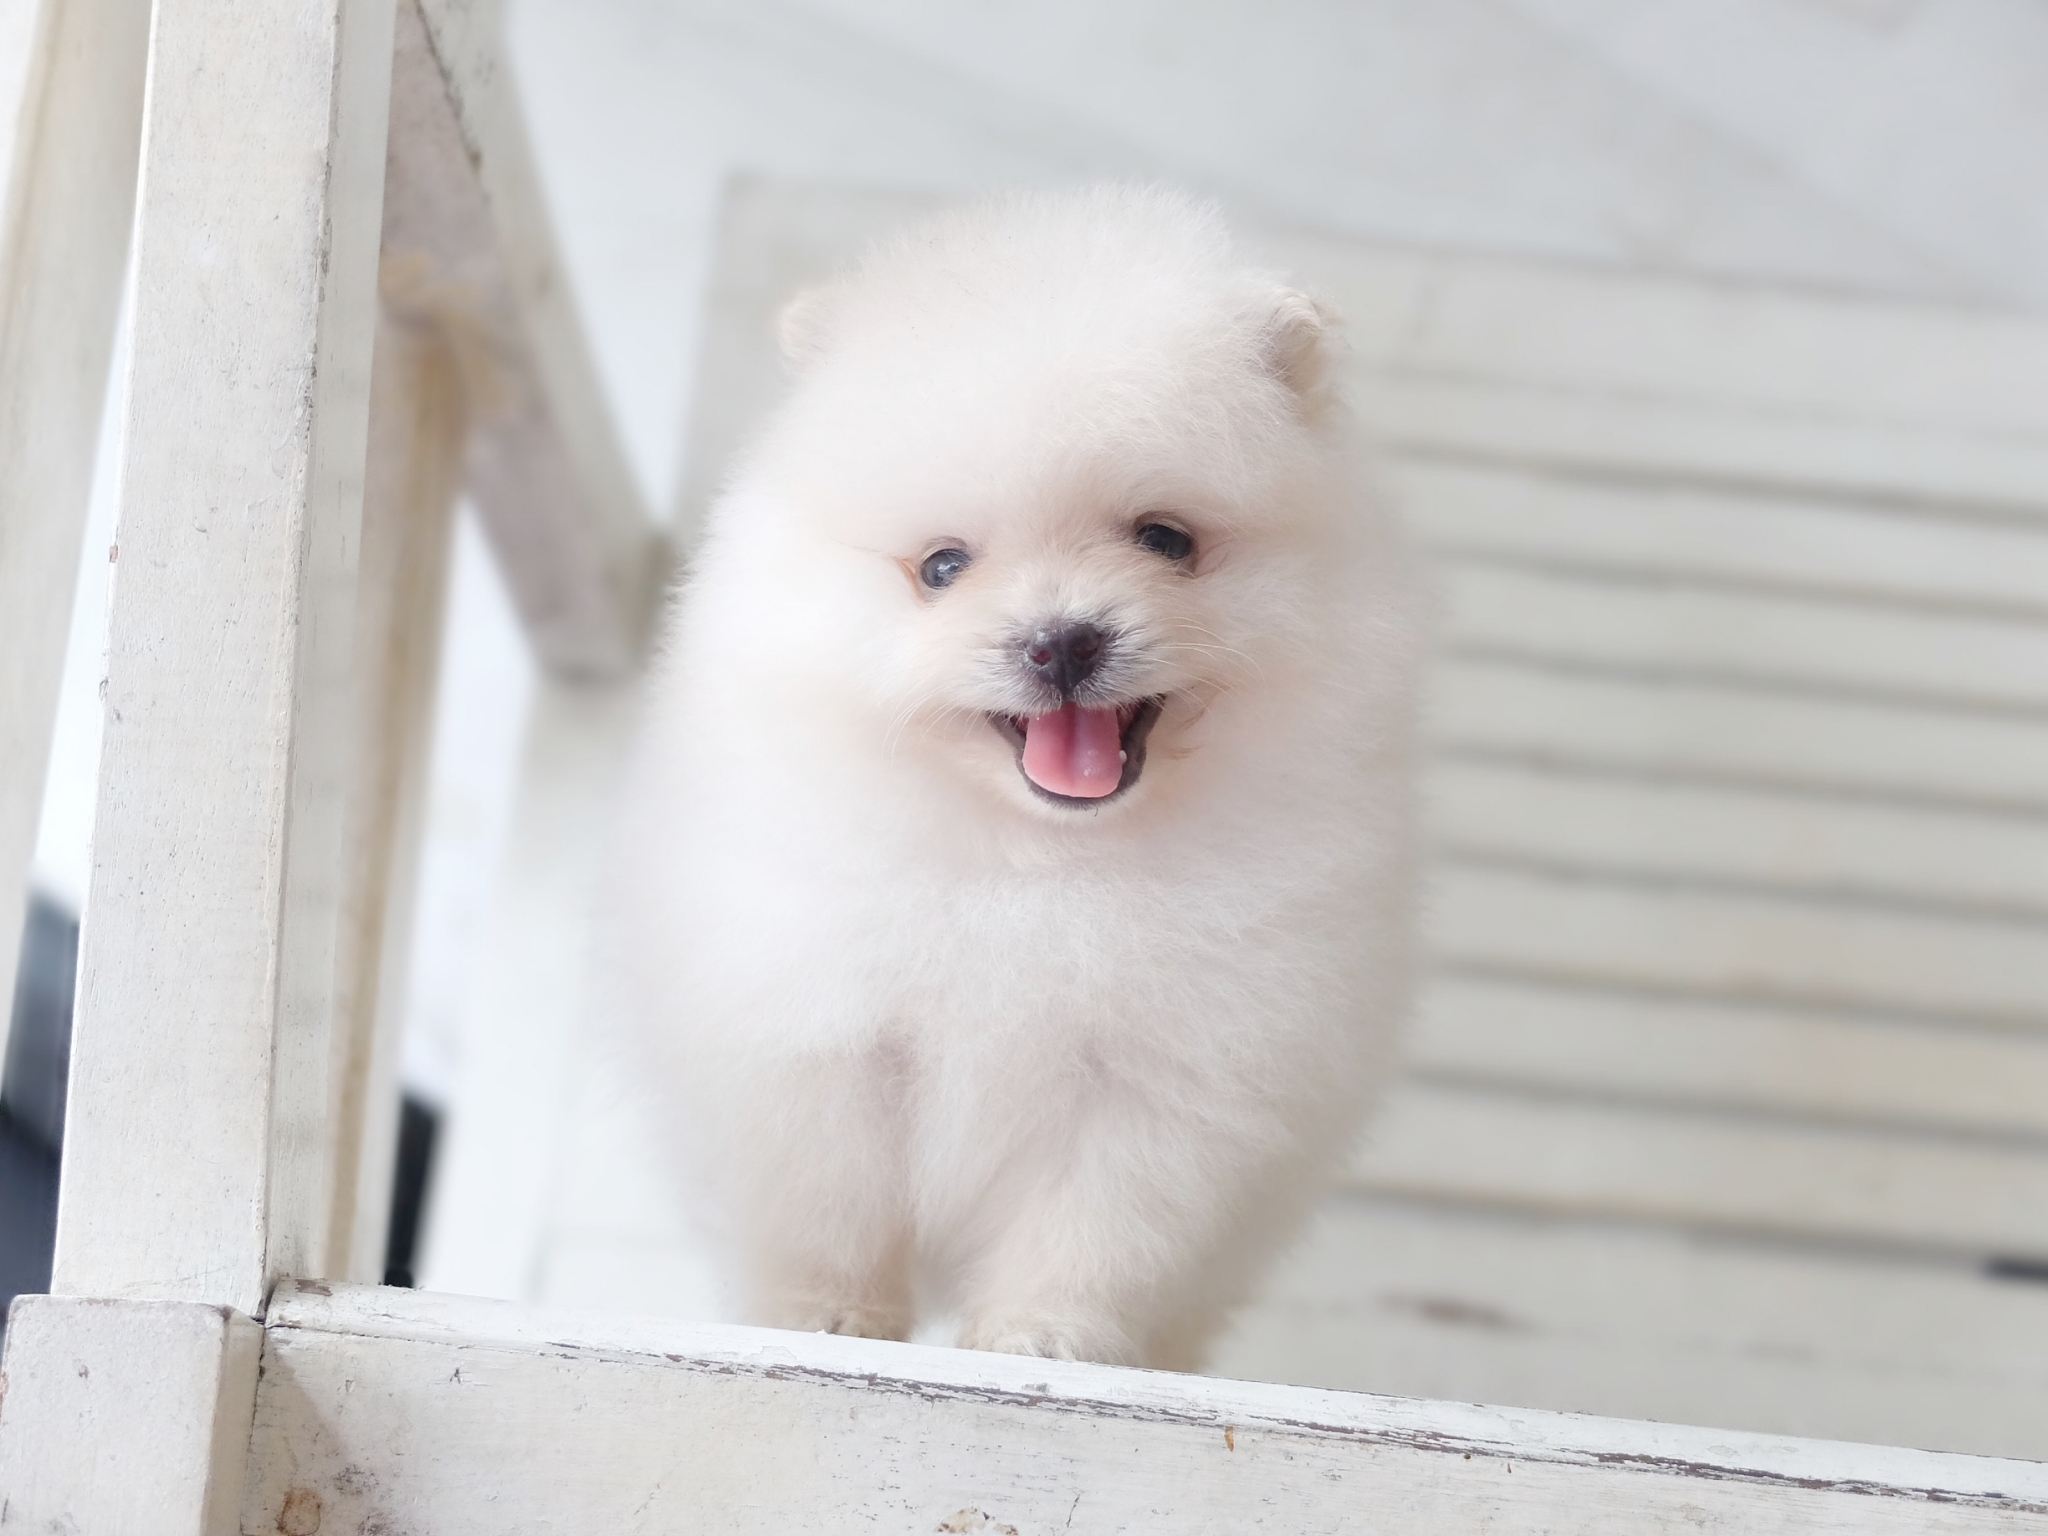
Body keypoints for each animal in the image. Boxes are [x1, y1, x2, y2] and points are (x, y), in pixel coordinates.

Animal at [609, 185, 1422, 1369]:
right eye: (942, 567)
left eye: (1165, 540)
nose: (1062, 639)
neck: (1032, 863)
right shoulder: (819, 1039)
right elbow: (831, 1204)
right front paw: (831, 1318)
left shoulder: (1162, 1087)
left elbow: (1091, 1233)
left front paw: (1039, 1342)